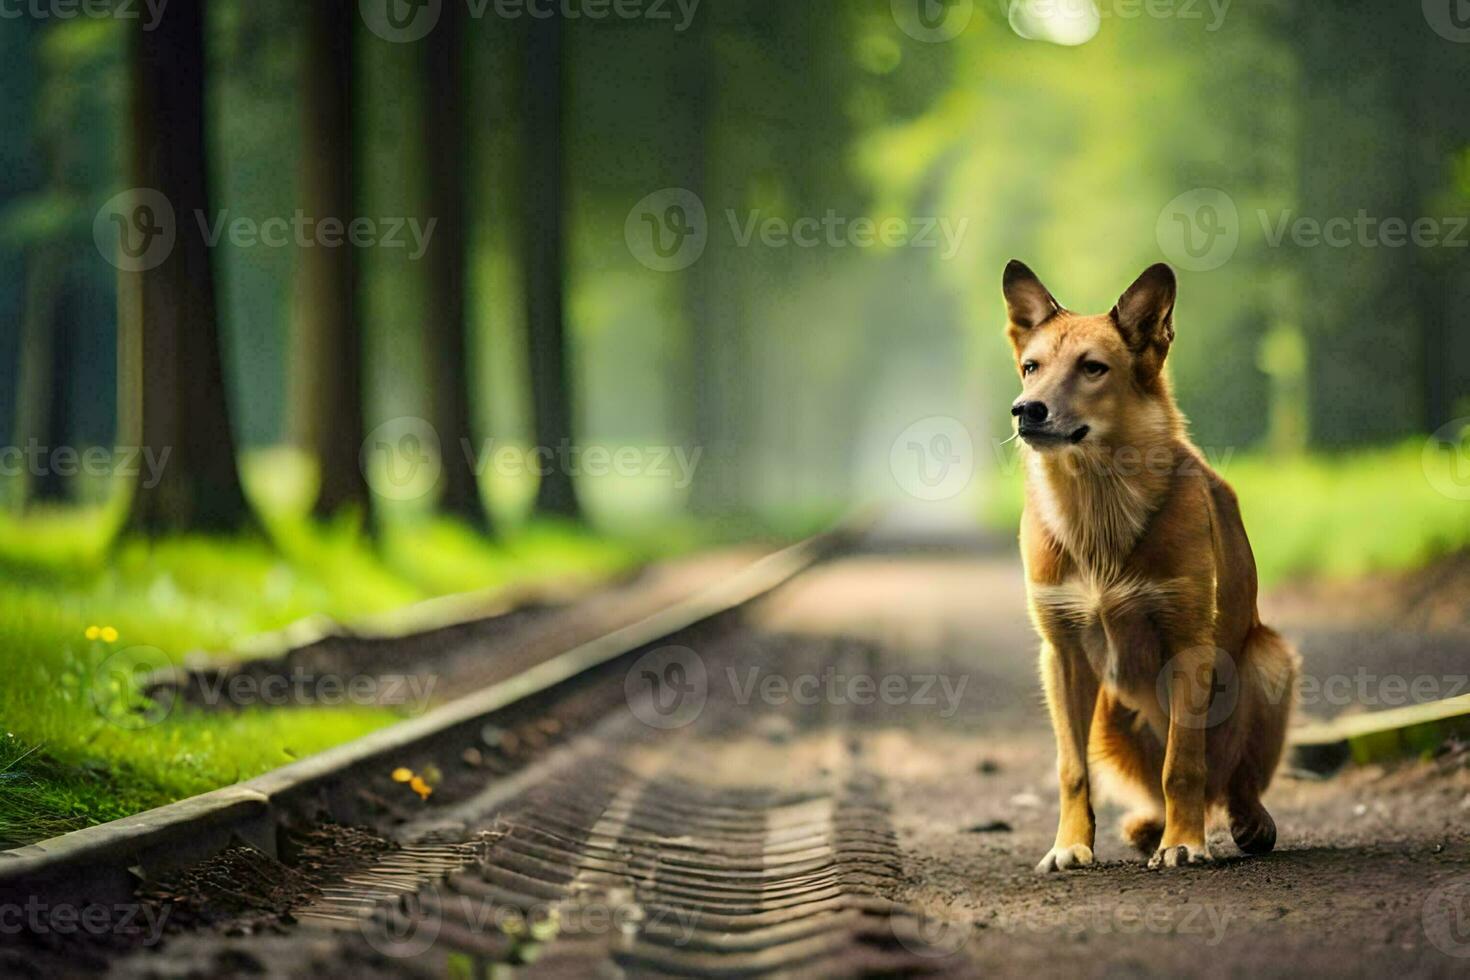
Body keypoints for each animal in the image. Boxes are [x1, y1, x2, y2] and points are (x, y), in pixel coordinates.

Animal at [1005, 260, 1305, 875]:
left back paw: (1242, 820)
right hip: (1106, 710)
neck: (1096, 503)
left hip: (1271, 664)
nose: (1026, 410)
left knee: (1234, 781)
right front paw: (1070, 843)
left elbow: (1180, 763)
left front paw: (1183, 842)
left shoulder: (1189, 645)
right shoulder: (1062, 655)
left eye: (1092, 368)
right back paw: (1149, 824)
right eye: (1031, 368)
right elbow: (1072, 770)